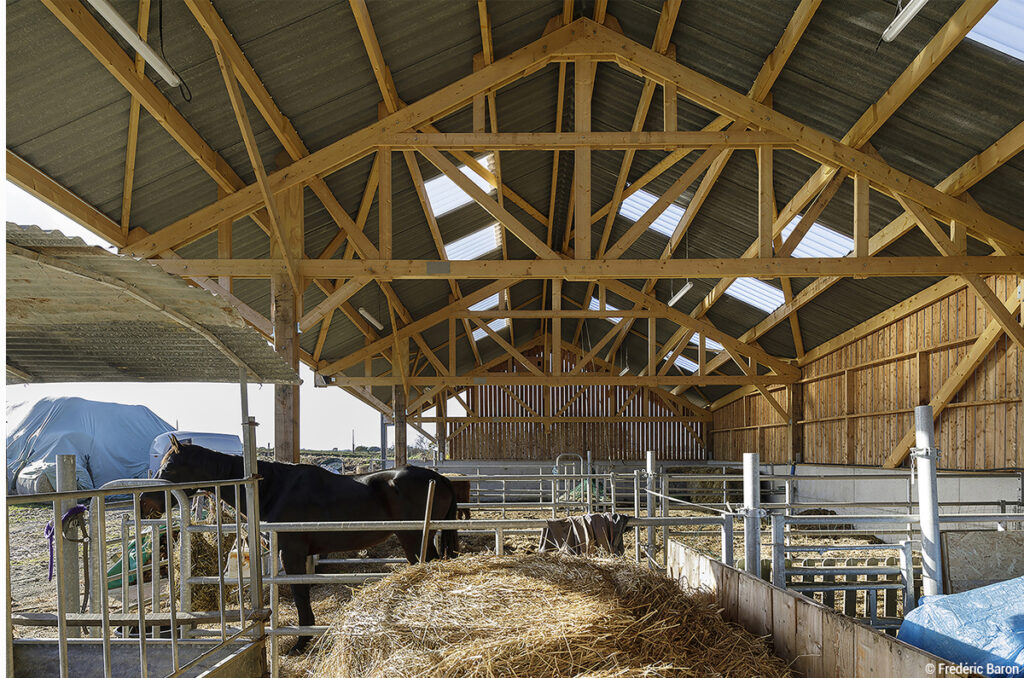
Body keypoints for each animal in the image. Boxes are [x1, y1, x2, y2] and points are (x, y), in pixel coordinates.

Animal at [142, 438, 462, 655]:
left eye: (169, 465)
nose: (147, 501)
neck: (273, 489)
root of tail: (439, 478)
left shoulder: (292, 553)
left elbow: (299, 595)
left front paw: (301, 641)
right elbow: (303, 592)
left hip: (414, 538)